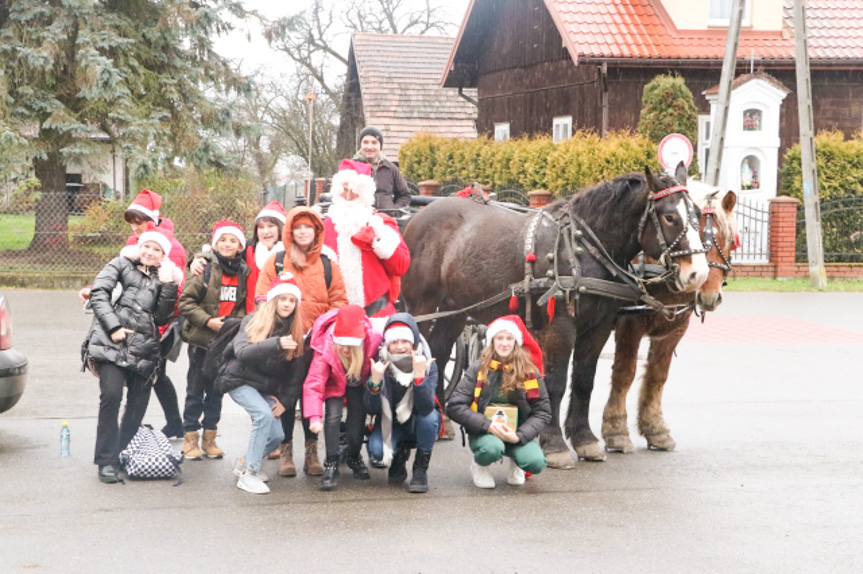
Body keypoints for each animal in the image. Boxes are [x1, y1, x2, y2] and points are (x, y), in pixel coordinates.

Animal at [404, 169, 708, 470]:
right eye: (670, 217)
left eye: (696, 214)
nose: (699, 274)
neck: (584, 247)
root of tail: (418, 216)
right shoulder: (560, 328)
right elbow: (556, 383)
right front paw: (554, 444)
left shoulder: (598, 329)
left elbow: (584, 381)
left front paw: (584, 439)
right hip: (422, 307)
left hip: (454, 311)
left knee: (439, 353)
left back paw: (442, 420)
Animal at [604, 187, 740, 452]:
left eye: (729, 239)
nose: (709, 295)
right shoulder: (629, 325)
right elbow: (624, 373)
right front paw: (615, 430)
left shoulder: (674, 329)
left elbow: (658, 374)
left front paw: (655, 428)